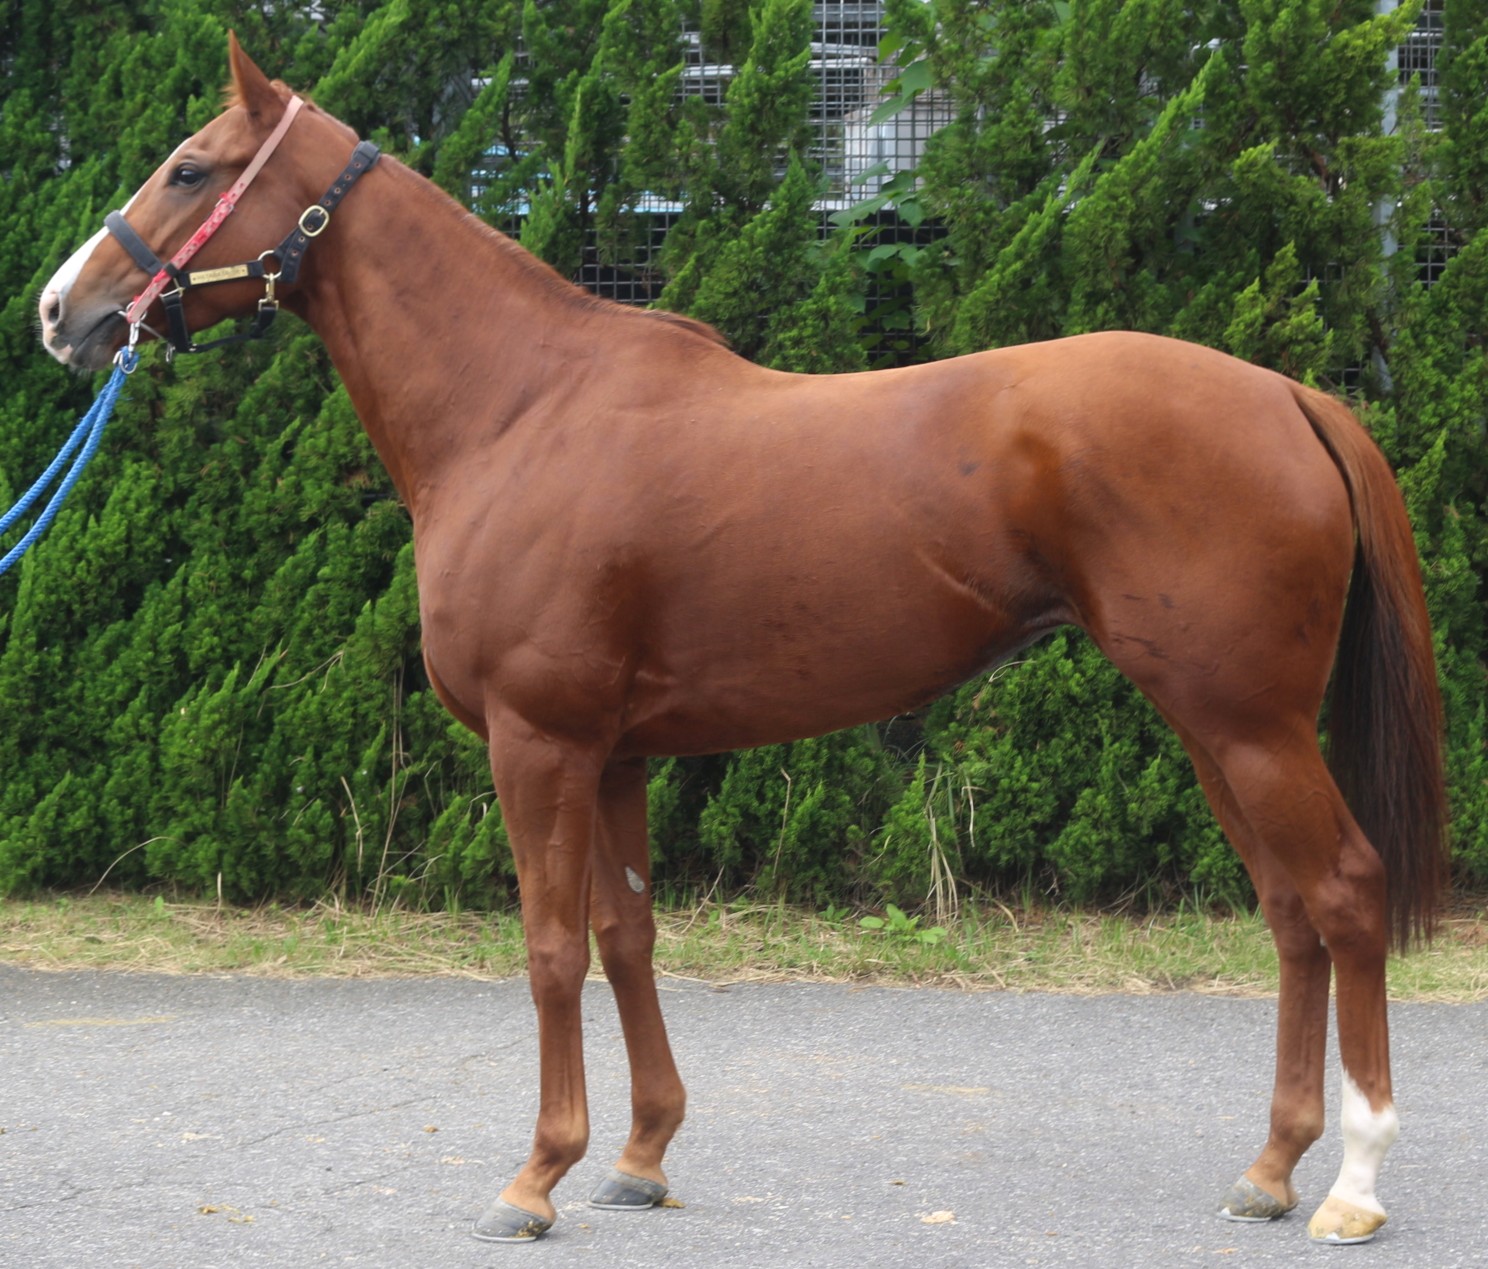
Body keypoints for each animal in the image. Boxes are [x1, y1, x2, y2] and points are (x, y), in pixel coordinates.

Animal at [38, 36, 1446, 1247]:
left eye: (191, 168)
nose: (62, 311)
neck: (519, 408)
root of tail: (1287, 395)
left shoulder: (538, 744)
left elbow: (549, 952)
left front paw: (535, 1177)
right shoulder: (612, 754)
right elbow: (626, 939)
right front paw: (638, 1158)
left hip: (1249, 726)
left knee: (1345, 894)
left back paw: (1355, 1185)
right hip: (1218, 728)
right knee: (1289, 915)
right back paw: (1272, 1168)